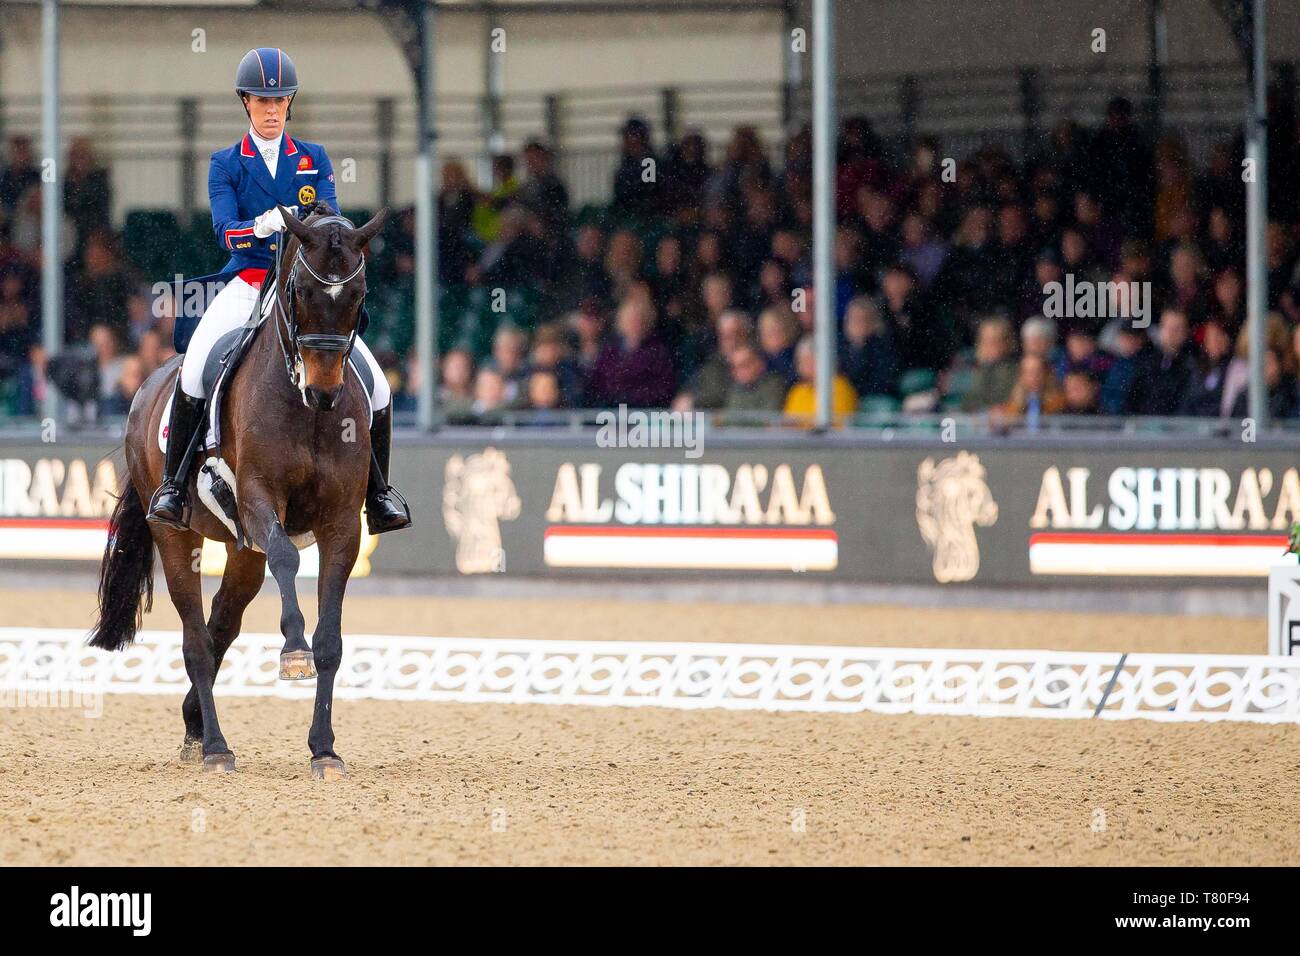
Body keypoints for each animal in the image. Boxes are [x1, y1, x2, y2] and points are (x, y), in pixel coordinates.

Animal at [88, 204, 387, 780]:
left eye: (360, 294)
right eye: (301, 292)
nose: (324, 392)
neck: (306, 412)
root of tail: (149, 384)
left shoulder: (342, 523)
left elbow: (331, 642)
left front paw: (324, 750)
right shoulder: (257, 499)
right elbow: (290, 562)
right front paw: (292, 651)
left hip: (242, 549)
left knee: (221, 625)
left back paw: (195, 726)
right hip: (175, 534)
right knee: (197, 640)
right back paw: (215, 748)